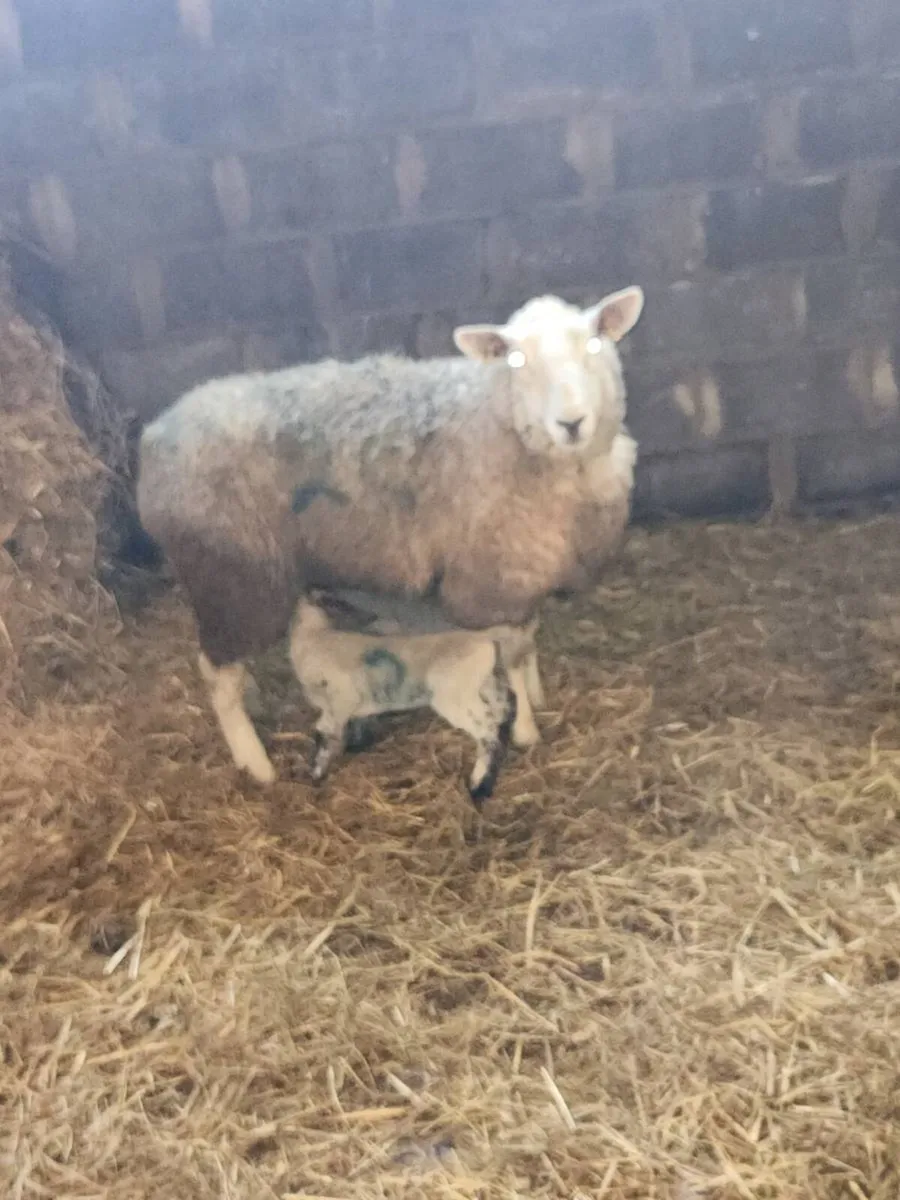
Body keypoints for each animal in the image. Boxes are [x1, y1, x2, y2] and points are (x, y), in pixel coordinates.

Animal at [137, 286, 644, 784]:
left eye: (594, 344)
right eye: (517, 360)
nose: (571, 423)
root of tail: (155, 437)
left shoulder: (527, 569)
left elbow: (530, 639)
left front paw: (537, 696)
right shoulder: (492, 577)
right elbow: (513, 658)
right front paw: (526, 729)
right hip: (234, 574)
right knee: (216, 673)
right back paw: (255, 762)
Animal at [289, 598, 538, 806]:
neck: (314, 639)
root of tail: (484, 639)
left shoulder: (338, 702)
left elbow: (324, 735)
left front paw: (316, 774)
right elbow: (359, 719)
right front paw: (358, 743)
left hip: (454, 697)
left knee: (487, 730)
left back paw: (478, 786)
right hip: (483, 685)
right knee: (503, 709)